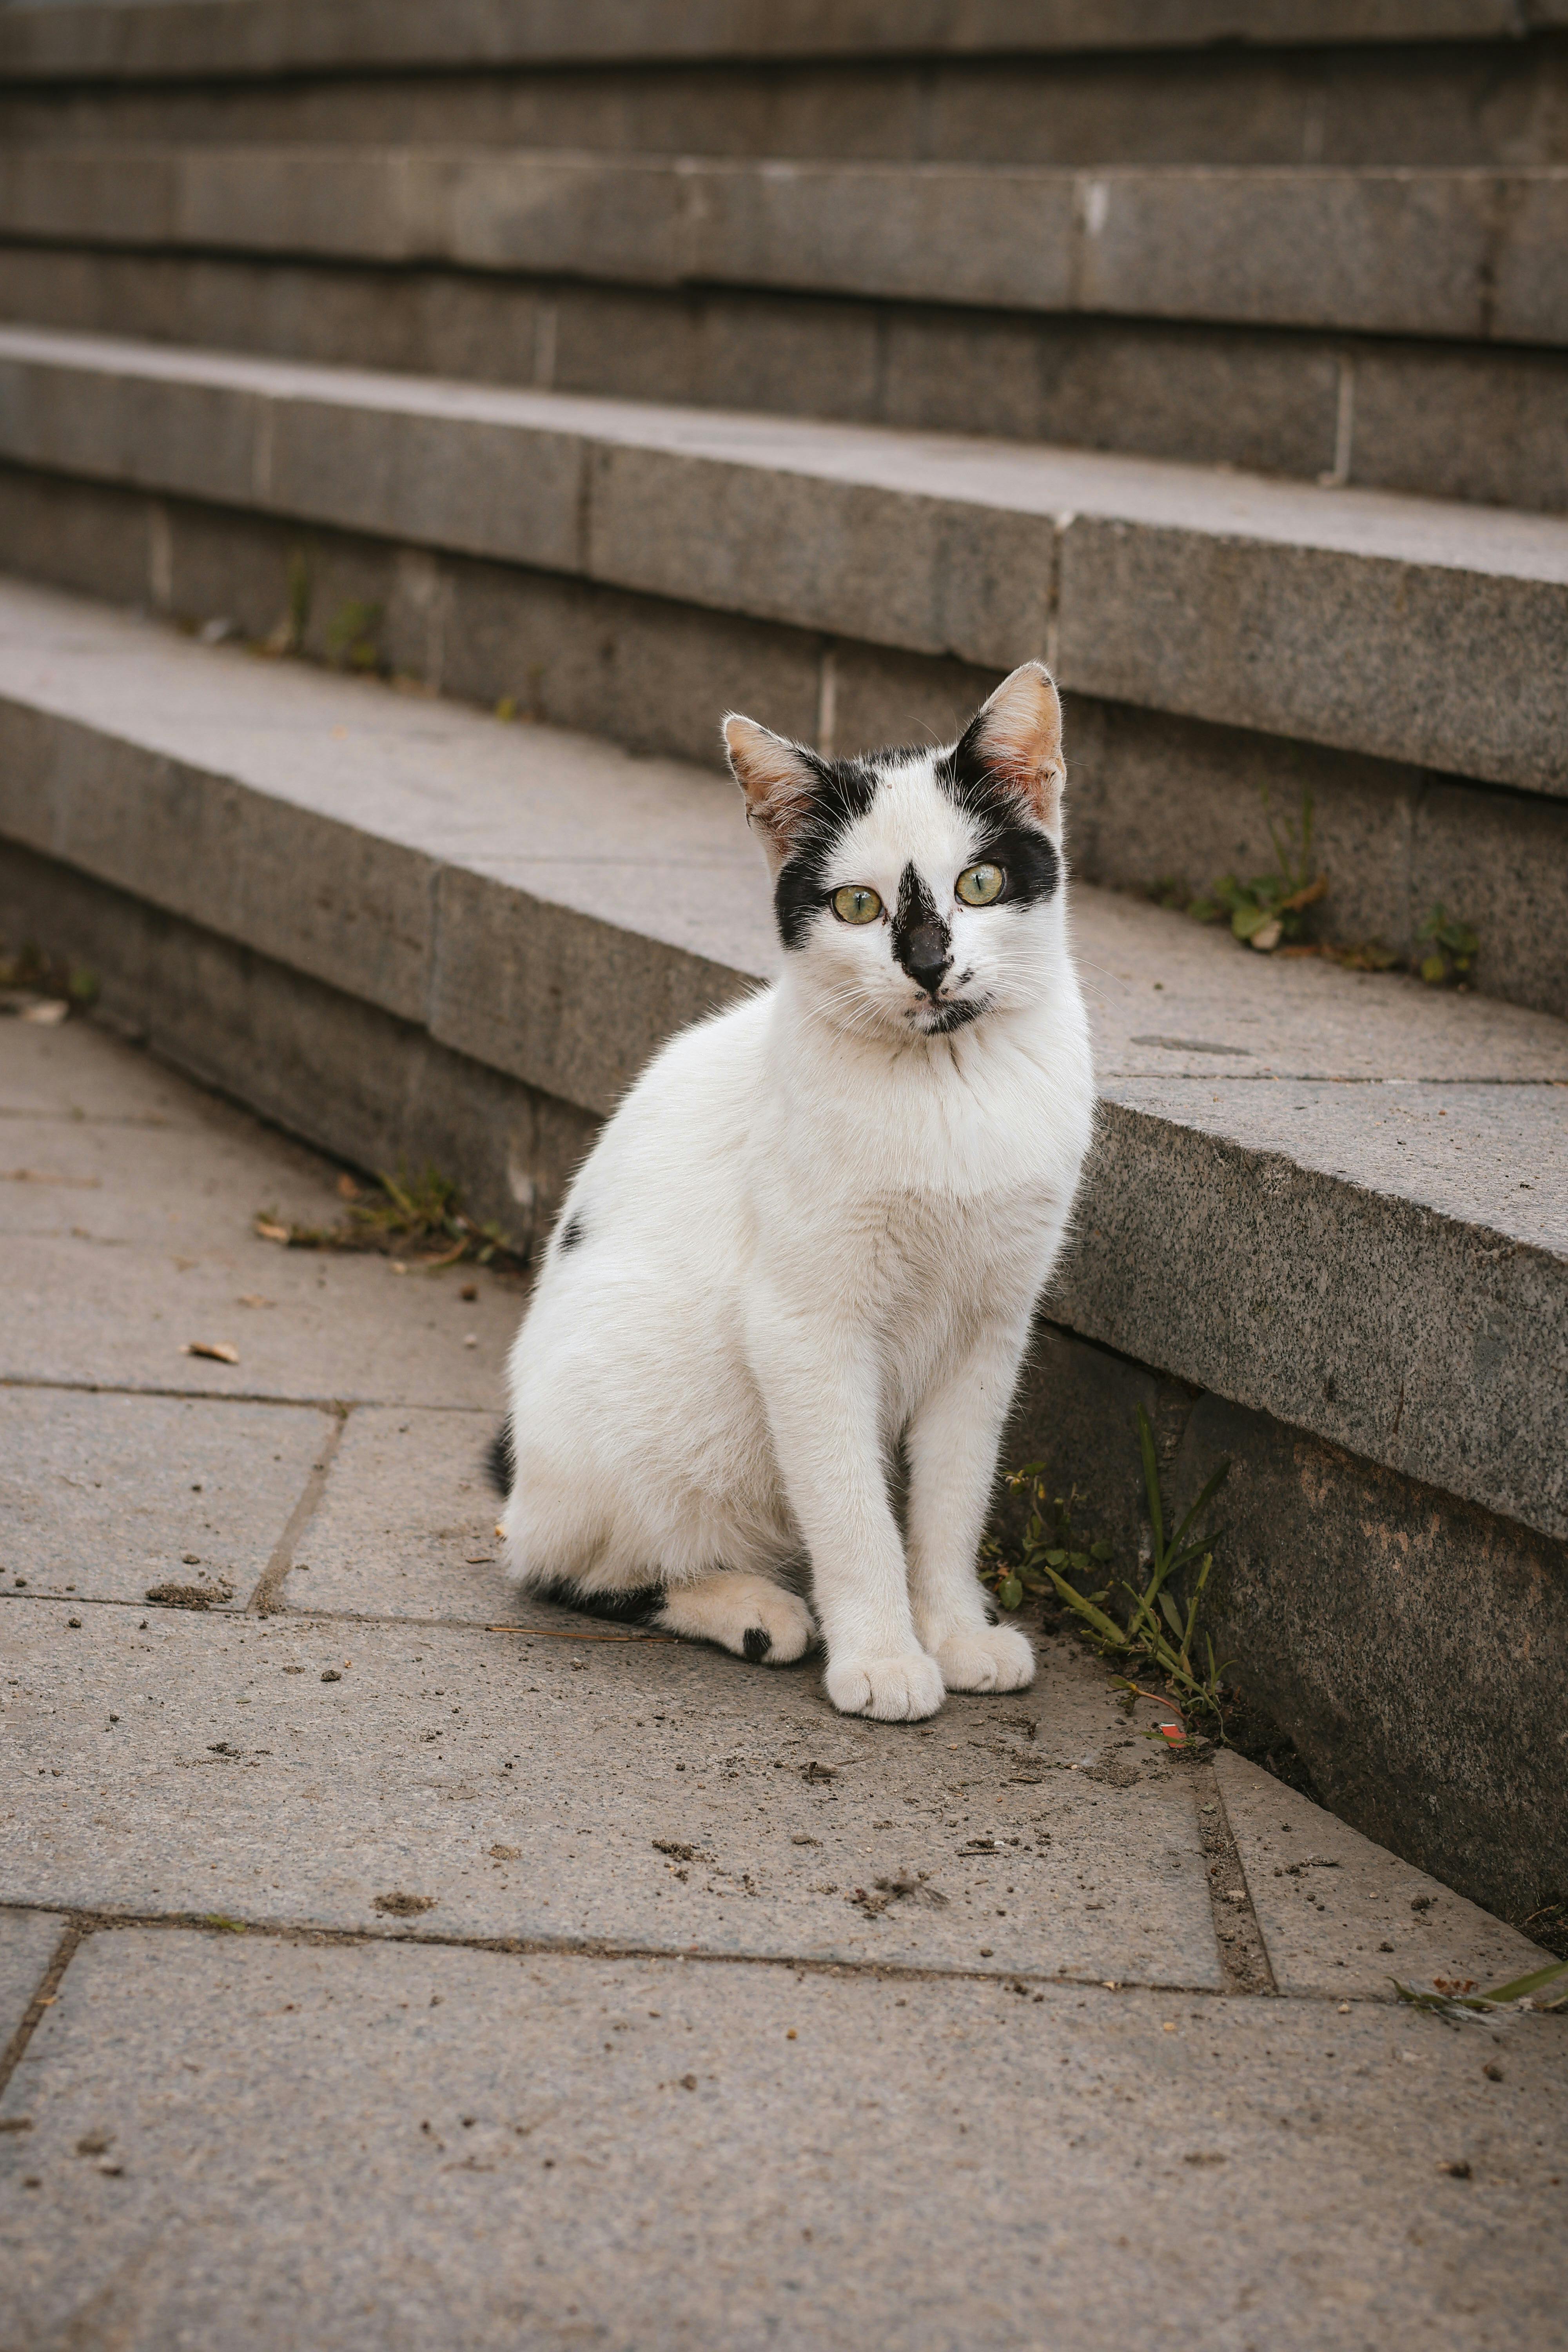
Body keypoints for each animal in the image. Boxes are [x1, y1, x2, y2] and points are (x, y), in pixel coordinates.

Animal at [486, 663, 1091, 1731]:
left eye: (978, 884)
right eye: (855, 905)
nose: (927, 963)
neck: (945, 1083)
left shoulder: (987, 1330)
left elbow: (950, 1500)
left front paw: (953, 1632)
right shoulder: (804, 1330)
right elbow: (852, 1510)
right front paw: (884, 1655)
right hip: (630, 1419)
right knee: (566, 1568)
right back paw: (751, 1610)